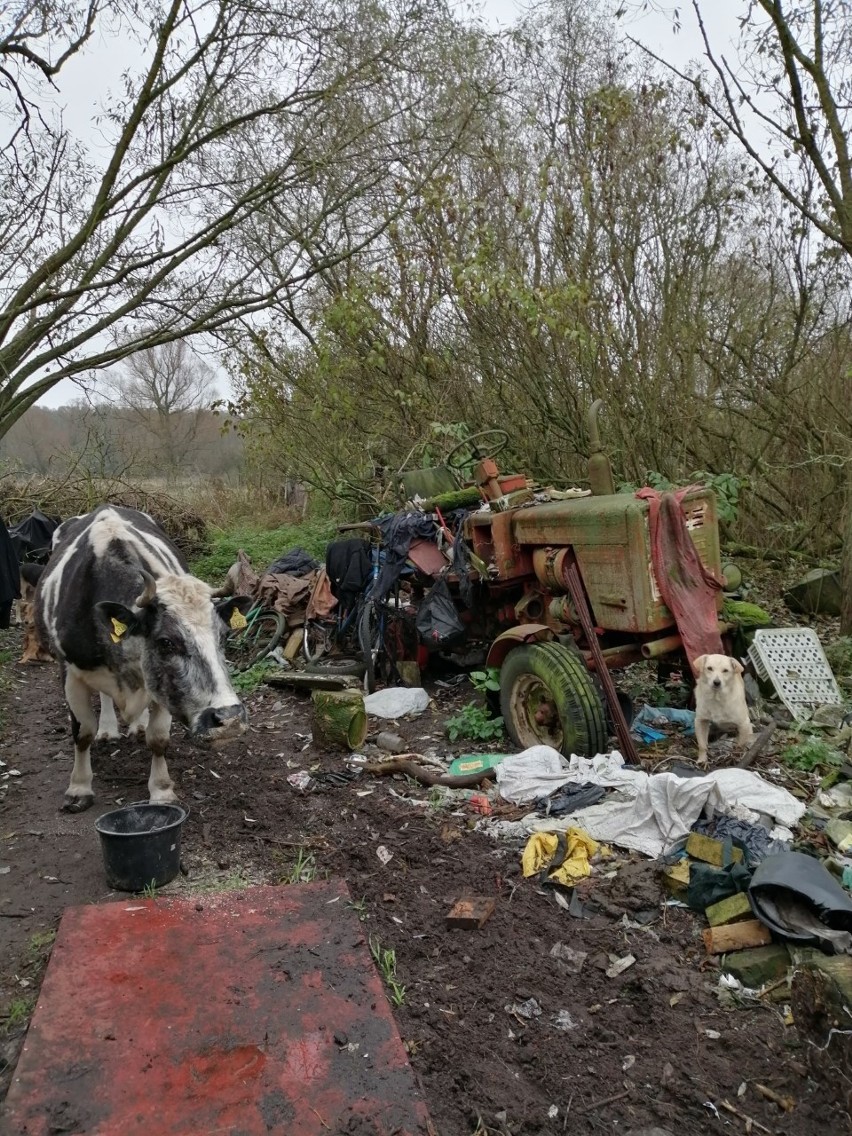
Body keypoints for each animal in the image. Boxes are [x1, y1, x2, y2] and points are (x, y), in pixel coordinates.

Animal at [36, 504, 249, 808]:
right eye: (166, 642)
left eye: (224, 637)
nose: (230, 720)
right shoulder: (69, 672)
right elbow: (82, 732)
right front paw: (79, 787)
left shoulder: (160, 685)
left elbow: (158, 738)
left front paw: (161, 790)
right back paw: (108, 729)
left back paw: (137, 725)